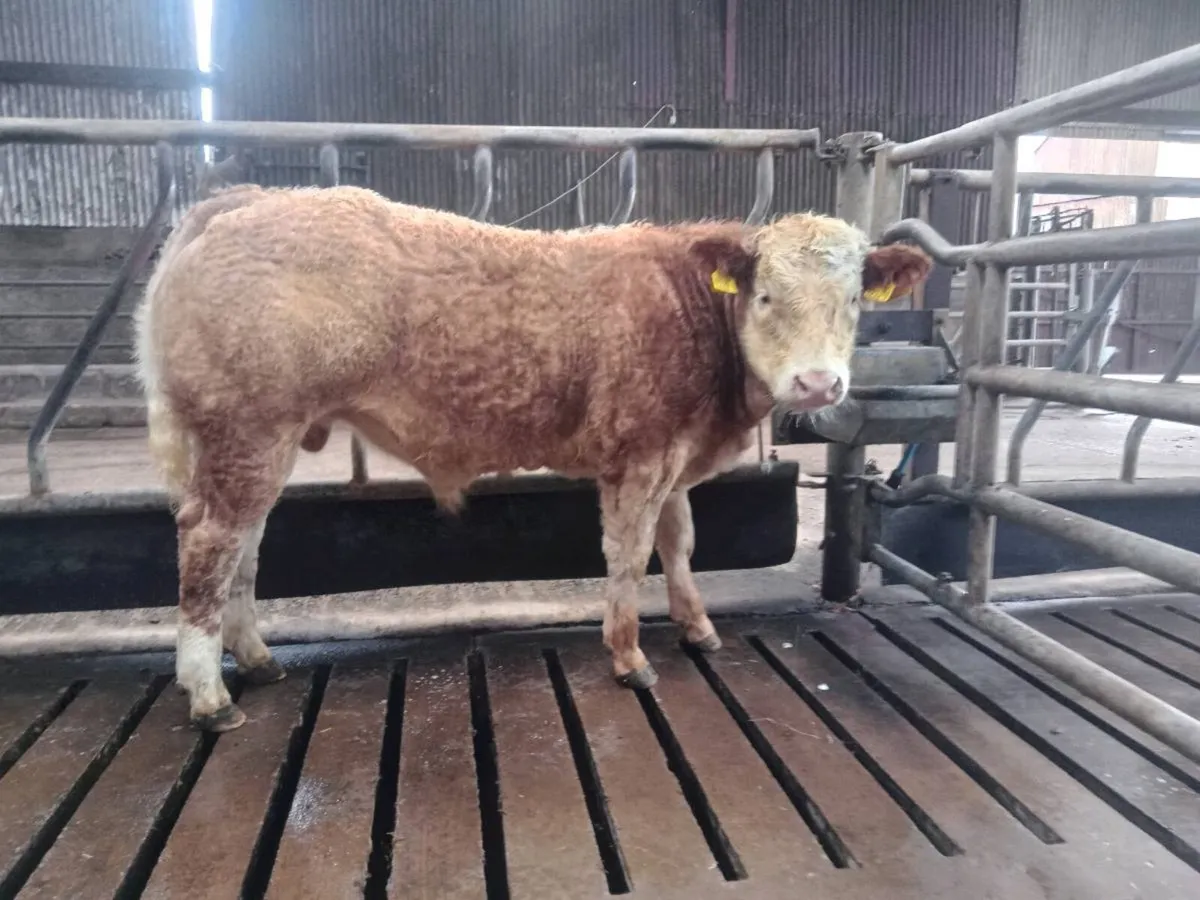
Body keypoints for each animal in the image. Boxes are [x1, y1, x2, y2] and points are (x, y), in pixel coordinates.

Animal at [135, 184, 932, 731]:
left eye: (856, 300)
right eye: (764, 296)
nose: (818, 384)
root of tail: (243, 198)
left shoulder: (674, 457)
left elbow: (679, 545)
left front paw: (698, 628)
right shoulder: (640, 455)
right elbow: (628, 554)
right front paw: (629, 656)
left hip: (255, 442)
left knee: (245, 548)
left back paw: (257, 658)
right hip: (247, 432)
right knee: (210, 544)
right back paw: (208, 694)